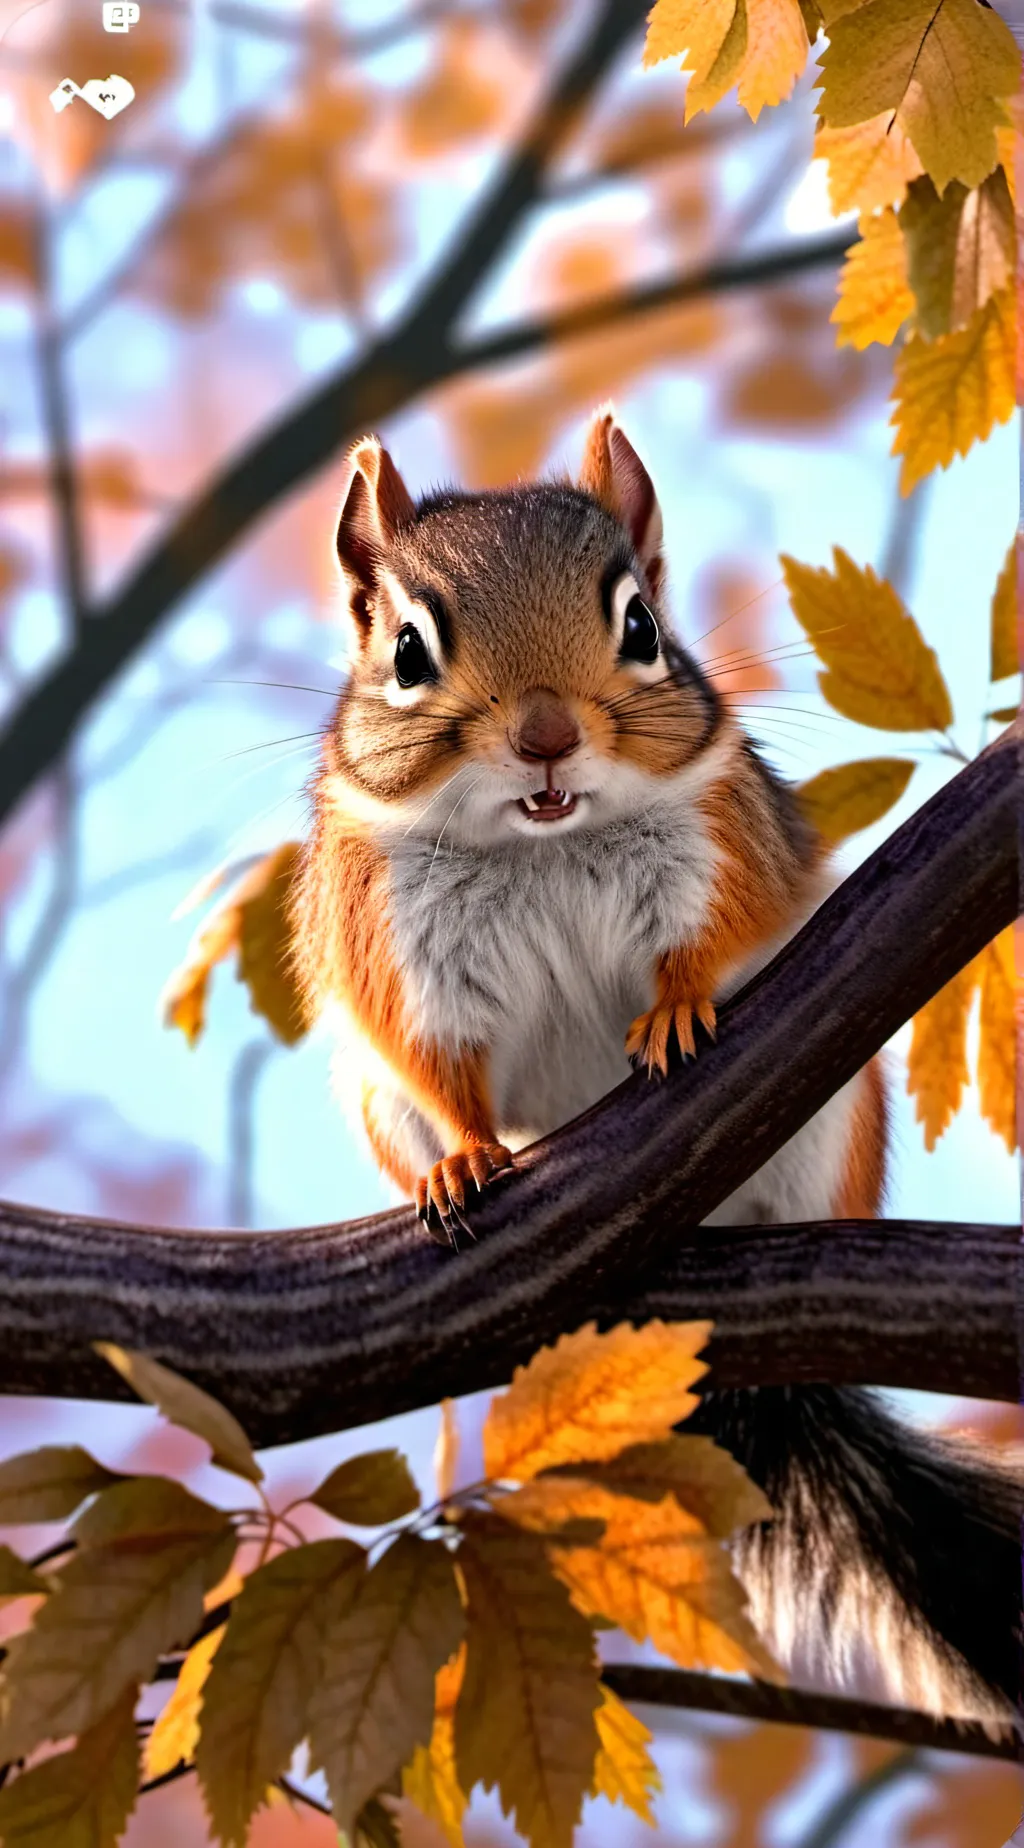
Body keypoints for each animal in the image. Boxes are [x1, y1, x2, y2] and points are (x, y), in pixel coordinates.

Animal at [292, 406, 1022, 1725]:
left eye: (639, 626)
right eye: (408, 651)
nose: (545, 736)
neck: (542, 839)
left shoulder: (724, 837)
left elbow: (716, 937)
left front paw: (678, 1010)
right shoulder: (385, 940)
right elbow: (434, 1061)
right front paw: (465, 1157)